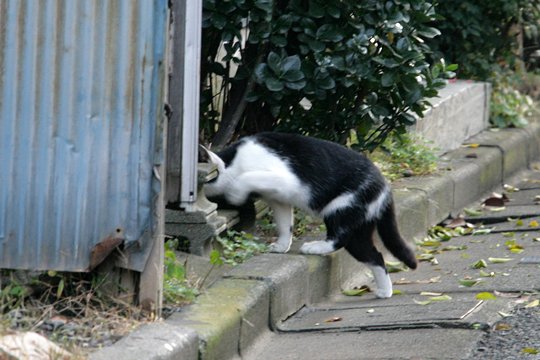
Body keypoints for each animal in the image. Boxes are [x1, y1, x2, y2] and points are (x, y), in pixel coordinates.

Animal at [202, 132, 418, 298]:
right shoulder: (279, 198)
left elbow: (246, 178)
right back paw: (385, 291)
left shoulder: (284, 180)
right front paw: (281, 246)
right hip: (361, 226)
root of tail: (385, 188)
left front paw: (235, 193)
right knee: (376, 256)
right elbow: (284, 224)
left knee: (341, 239)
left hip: (340, 208)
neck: (234, 161)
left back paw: (316, 247)